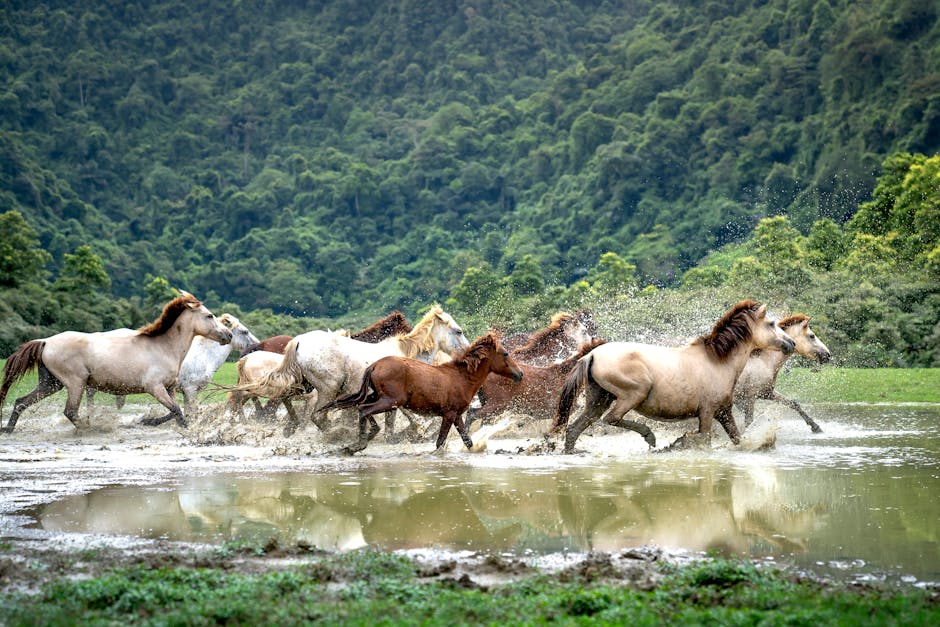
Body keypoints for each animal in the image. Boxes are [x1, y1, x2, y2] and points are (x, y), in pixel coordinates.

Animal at [0, 294, 233, 432]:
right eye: (209, 316)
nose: (228, 335)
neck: (164, 348)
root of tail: (46, 341)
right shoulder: (155, 387)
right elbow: (176, 410)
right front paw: (154, 422)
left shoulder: (170, 388)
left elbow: (174, 411)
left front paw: (150, 422)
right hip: (75, 383)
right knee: (70, 411)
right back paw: (90, 428)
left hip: (50, 383)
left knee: (20, 402)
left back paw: (8, 429)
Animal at [235, 306, 470, 436]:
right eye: (458, 331)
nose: (467, 354)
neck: (406, 355)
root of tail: (298, 341)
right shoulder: (395, 397)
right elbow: (404, 418)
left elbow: (396, 420)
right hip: (328, 389)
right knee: (317, 417)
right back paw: (337, 435)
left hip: (306, 387)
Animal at [322, 334, 528, 456]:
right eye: (505, 354)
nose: (520, 374)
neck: (462, 378)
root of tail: (374, 365)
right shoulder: (449, 415)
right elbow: (440, 442)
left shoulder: (456, 415)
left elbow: (467, 440)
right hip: (390, 401)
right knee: (364, 409)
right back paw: (358, 444)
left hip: (379, 397)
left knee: (360, 406)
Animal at [556, 302, 796, 454]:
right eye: (772, 324)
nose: (791, 343)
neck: (719, 361)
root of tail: (592, 354)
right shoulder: (707, 413)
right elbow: (704, 440)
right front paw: (678, 443)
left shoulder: (724, 412)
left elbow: (737, 439)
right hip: (634, 393)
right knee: (611, 419)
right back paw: (650, 437)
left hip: (598, 399)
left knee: (575, 428)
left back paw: (574, 453)